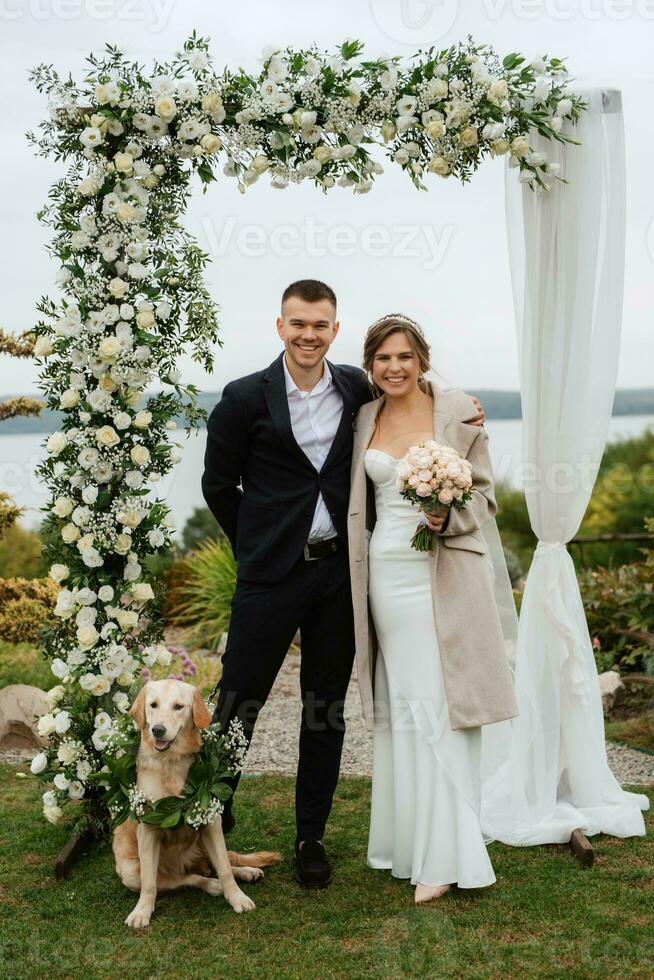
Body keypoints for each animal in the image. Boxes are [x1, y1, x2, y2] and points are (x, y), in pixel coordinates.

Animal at [115, 676, 280, 932]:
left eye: (178, 707)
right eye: (153, 705)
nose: (157, 730)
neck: (171, 762)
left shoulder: (212, 824)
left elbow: (224, 868)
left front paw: (238, 898)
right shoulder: (148, 831)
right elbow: (150, 884)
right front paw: (141, 911)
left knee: (219, 865)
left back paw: (246, 872)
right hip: (131, 871)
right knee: (184, 879)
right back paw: (211, 885)